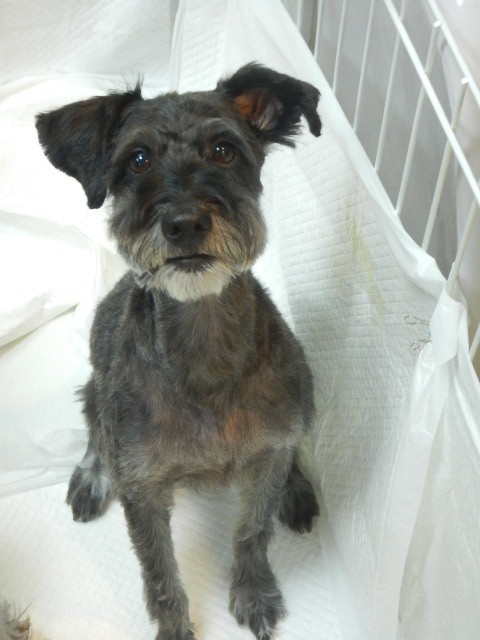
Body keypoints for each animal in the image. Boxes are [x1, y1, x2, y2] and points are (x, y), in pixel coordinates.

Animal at [36, 63, 321, 640]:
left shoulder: (269, 451)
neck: (204, 341)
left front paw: (254, 593)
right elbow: (159, 570)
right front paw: (174, 627)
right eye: (137, 160)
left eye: (224, 150)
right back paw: (92, 475)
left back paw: (297, 488)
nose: (185, 222)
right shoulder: (143, 490)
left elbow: (253, 530)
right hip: (95, 390)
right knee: (95, 430)